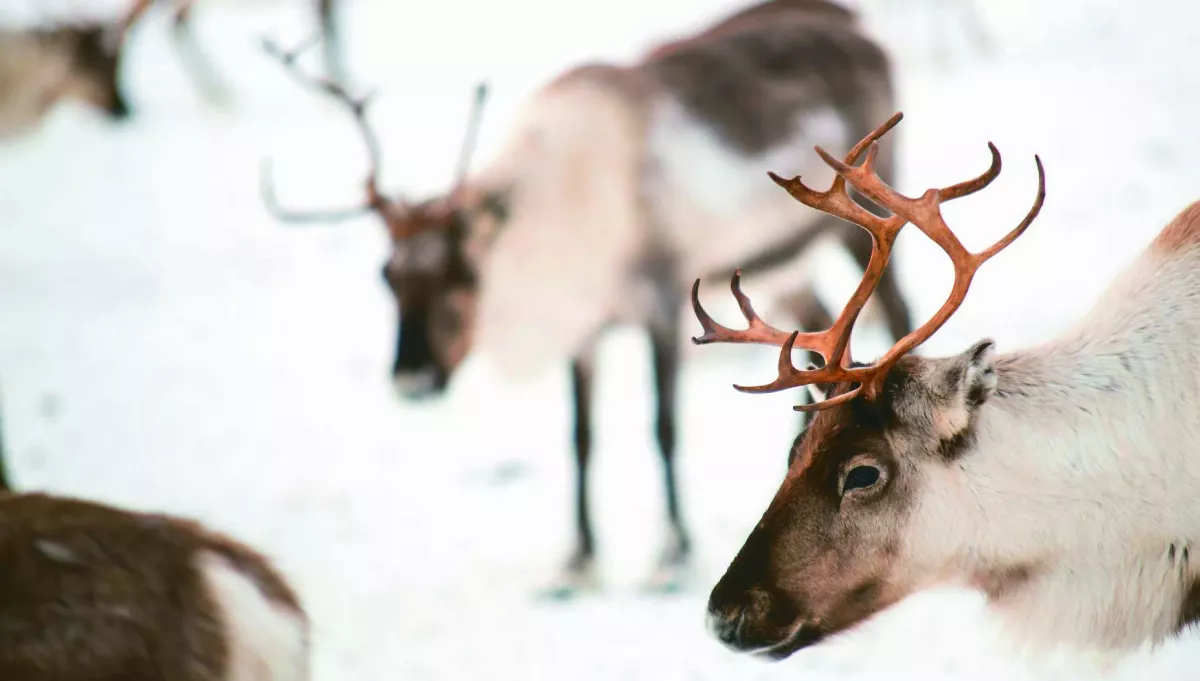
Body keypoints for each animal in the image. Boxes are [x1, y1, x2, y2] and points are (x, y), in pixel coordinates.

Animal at [258, 0, 918, 596]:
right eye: (387, 276)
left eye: (465, 275)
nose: (412, 381)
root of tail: (864, 35)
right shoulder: (584, 330)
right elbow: (581, 439)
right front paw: (576, 563)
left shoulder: (664, 301)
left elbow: (663, 428)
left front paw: (671, 558)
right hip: (785, 272)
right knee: (818, 336)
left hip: (864, 218)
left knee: (898, 314)